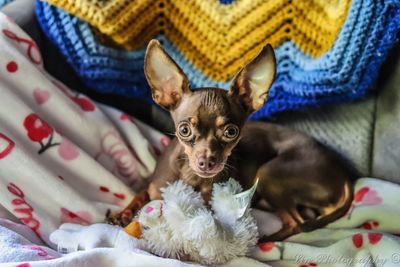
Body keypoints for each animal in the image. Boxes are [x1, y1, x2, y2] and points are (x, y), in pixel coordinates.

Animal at [108, 40, 354, 243]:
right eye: (184, 130)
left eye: (231, 131)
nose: (207, 162)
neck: (190, 176)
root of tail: (343, 175)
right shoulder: (154, 186)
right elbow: (140, 194)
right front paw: (122, 214)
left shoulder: (207, 209)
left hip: (270, 173)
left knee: (297, 223)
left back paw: (261, 241)